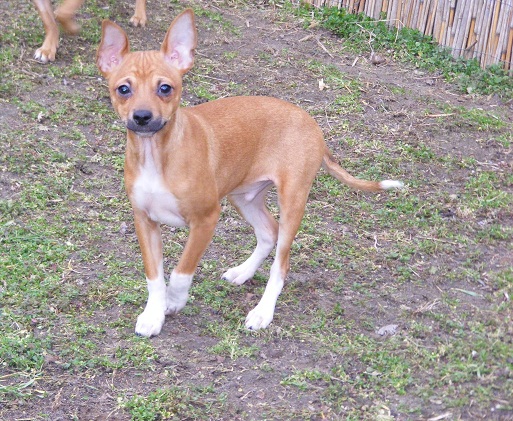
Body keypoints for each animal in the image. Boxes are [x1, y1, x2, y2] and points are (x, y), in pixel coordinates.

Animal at [96, 9, 403, 337]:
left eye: (165, 88)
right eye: (123, 89)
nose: (142, 117)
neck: (156, 154)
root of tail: (312, 123)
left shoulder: (206, 220)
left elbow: (180, 272)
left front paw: (175, 301)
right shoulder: (144, 220)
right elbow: (154, 277)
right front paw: (153, 315)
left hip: (292, 201)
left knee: (280, 264)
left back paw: (262, 312)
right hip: (244, 197)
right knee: (268, 232)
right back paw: (243, 272)